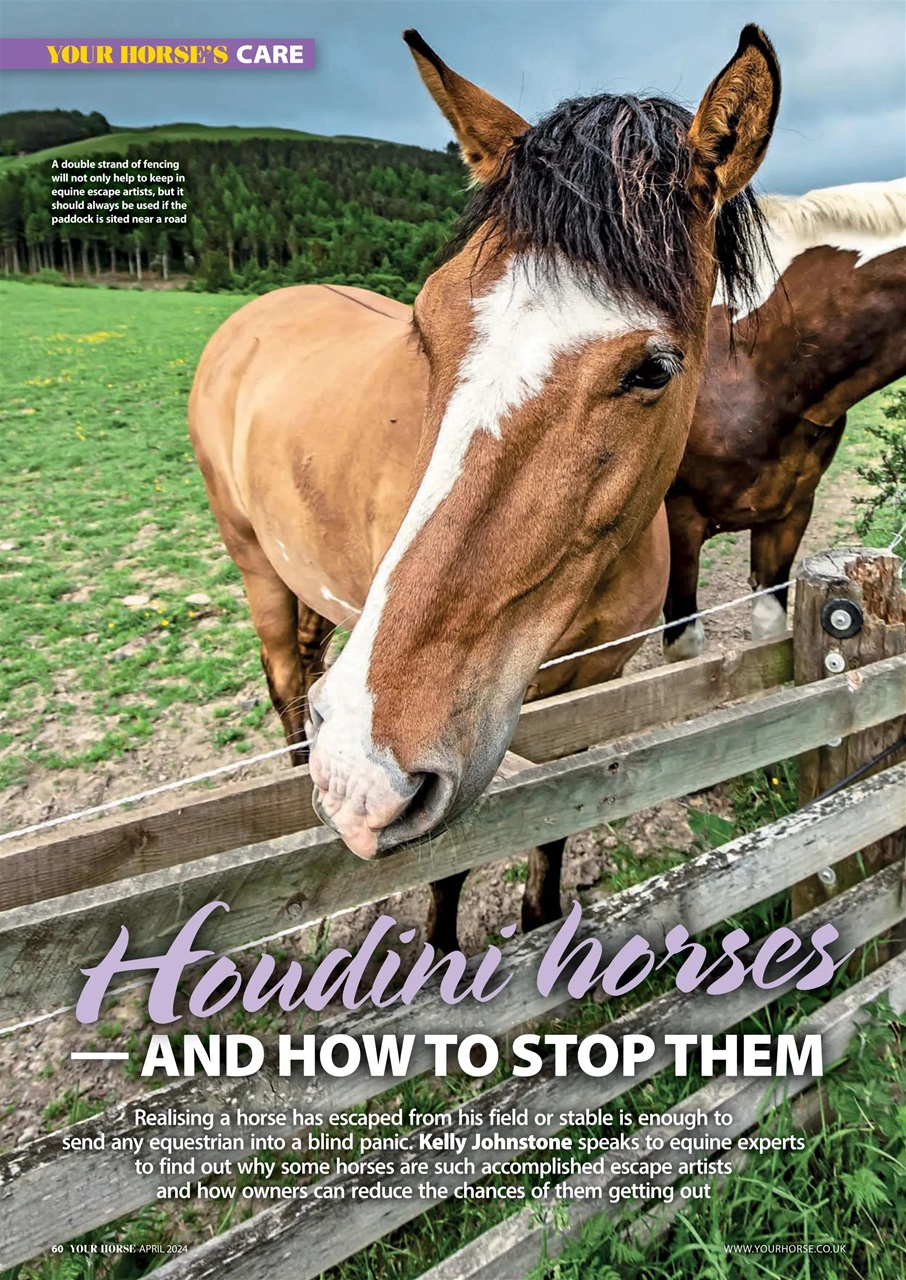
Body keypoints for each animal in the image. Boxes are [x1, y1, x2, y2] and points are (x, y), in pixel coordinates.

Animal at [189, 26, 780, 951]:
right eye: (426, 323)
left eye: (654, 368)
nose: (358, 767)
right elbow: (454, 862)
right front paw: (440, 953)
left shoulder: (589, 690)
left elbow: (561, 819)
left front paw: (541, 922)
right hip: (254, 568)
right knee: (285, 683)